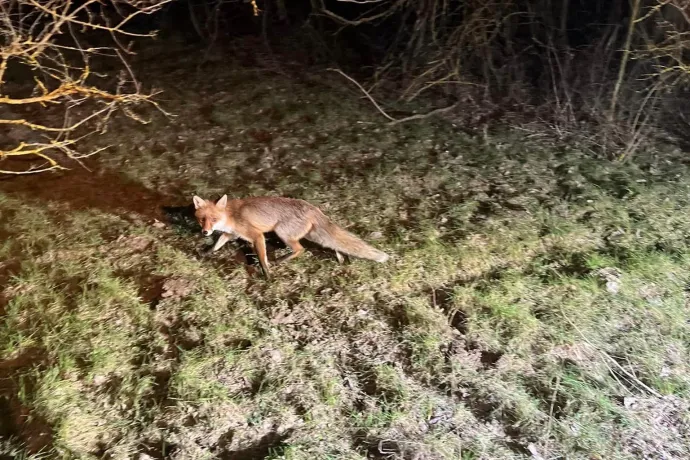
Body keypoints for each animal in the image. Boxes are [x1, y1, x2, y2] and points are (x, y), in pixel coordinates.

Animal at [194, 193, 388, 276]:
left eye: (214, 219)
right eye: (202, 219)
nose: (205, 232)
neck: (231, 216)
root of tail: (312, 207)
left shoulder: (256, 235)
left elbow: (262, 258)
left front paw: (267, 274)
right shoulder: (231, 235)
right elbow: (217, 244)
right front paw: (205, 252)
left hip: (283, 233)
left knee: (300, 249)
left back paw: (280, 260)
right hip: (312, 235)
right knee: (333, 244)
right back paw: (340, 258)